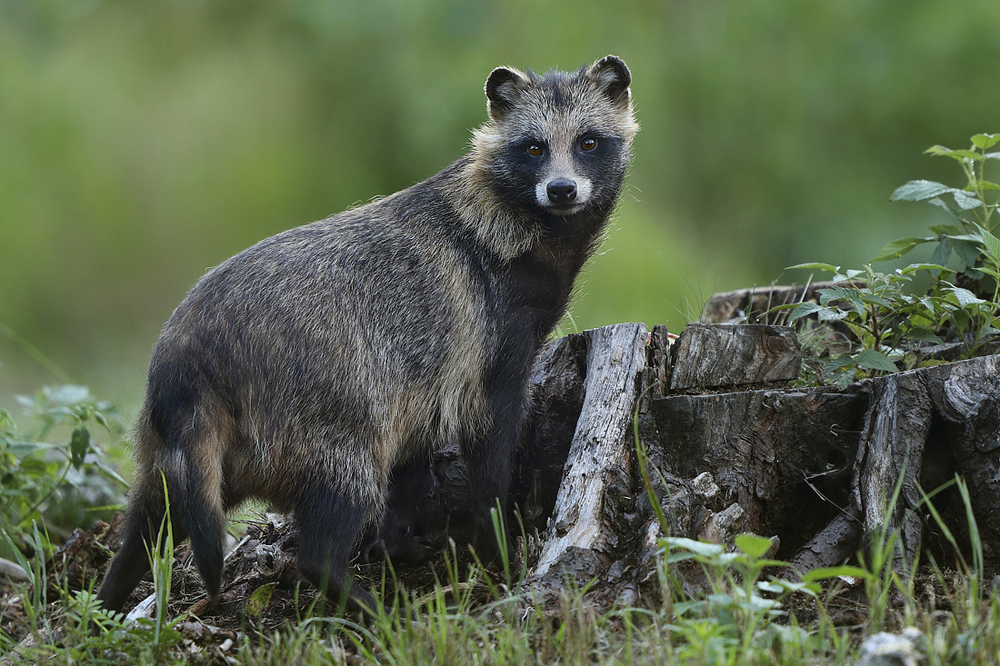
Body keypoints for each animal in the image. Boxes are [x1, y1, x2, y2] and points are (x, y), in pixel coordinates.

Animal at [95, 55, 640, 612]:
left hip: (173, 448)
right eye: (533, 147)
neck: (521, 220)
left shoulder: (424, 378)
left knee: (151, 523)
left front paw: (399, 540)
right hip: (320, 408)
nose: (562, 189)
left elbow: (412, 464)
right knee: (338, 501)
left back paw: (110, 595)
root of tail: (185, 357)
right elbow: (489, 437)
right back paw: (359, 596)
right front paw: (497, 542)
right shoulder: (490, 334)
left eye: (588, 142)